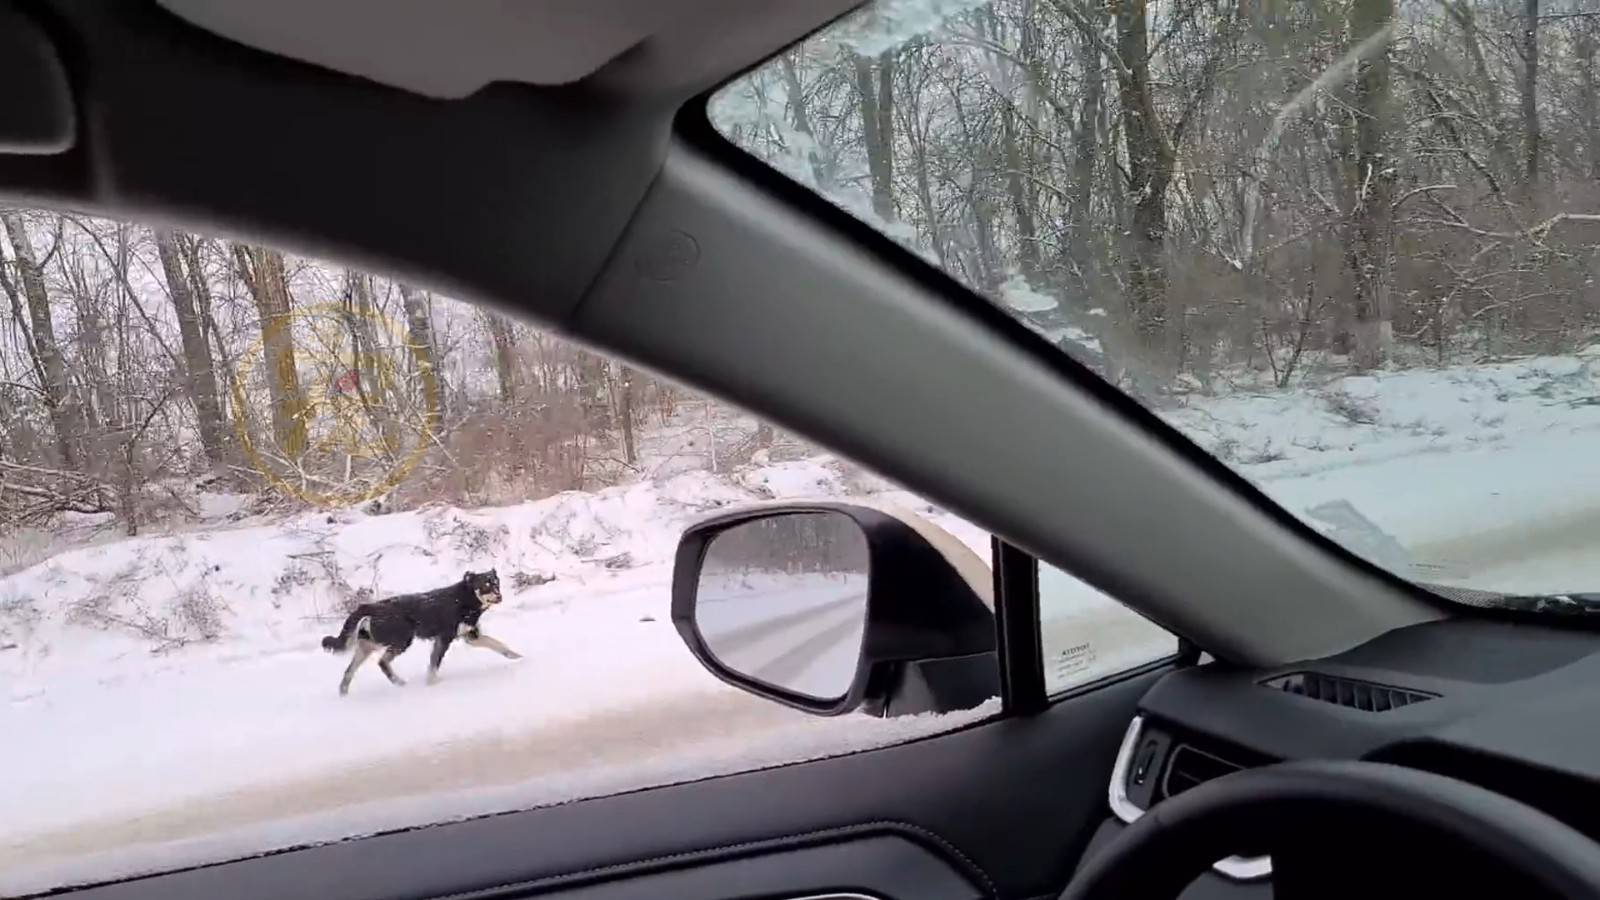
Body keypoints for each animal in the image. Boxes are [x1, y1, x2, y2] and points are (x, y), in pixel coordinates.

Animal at [321, 566, 521, 695]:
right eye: (485, 585)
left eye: (496, 583)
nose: (499, 596)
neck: (465, 599)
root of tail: (370, 606)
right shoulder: (444, 639)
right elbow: (434, 665)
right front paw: (432, 685)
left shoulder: (471, 636)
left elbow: (498, 644)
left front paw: (516, 656)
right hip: (402, 640)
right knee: (382, 662)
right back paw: (399, 682)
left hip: (369, 644)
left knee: (349, 671)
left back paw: (344, 694)